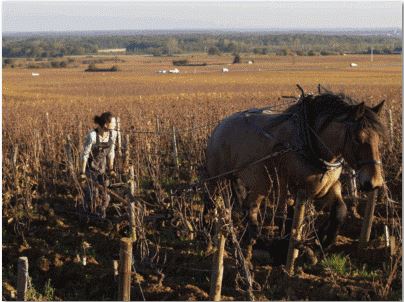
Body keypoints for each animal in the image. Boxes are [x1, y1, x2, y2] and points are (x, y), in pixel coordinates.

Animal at [205, 86, 386, 258]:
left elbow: (340, 210)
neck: (311, 144)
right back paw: (217, 239)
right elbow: (287, 217)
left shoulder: (327, 187)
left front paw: (322, 241)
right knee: (221, 204)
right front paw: (291, 248)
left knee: (247, 209)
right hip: (223, 179)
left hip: (247, 180)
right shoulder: (292, 188)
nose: (374, 182)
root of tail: (221, 126)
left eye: (379, 138)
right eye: (357, 138)